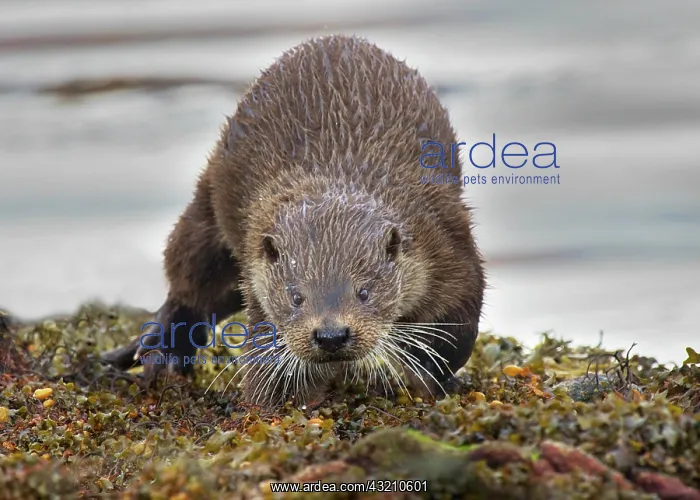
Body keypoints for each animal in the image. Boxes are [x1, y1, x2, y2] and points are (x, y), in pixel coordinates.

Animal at [102, 34, 485, 407]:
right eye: (296, 296)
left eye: (364, 292)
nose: (331, 335)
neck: (336, 183)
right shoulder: (257, 277)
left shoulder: (444, 242)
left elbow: (454, 332)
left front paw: (433, 378)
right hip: (208, 207)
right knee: (190, 283)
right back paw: (164, 350)